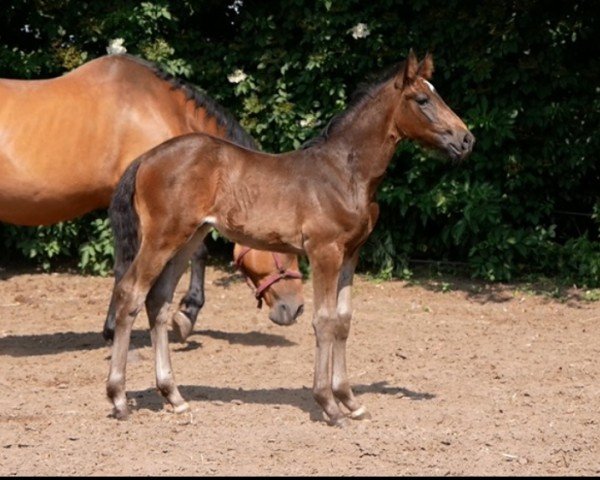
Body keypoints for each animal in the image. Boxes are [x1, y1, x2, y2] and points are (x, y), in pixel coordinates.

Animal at [105, 50, 476, 426]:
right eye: (422, 100)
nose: (466, 139)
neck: (345, 172)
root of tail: (145, 158)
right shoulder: (324, 251)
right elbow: (324, 321)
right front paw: (329, 405)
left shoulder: (351, 253)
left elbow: (343, 320)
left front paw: (351, 401)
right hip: (162, 237)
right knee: (131, 293)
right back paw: (119, 399)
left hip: (189, 238)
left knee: (159, 300)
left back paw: (174, 396)